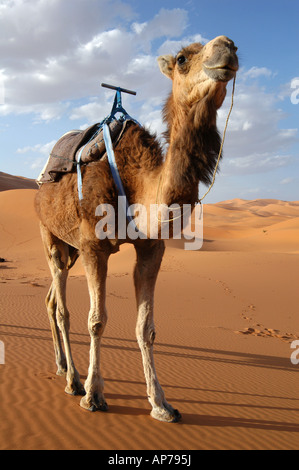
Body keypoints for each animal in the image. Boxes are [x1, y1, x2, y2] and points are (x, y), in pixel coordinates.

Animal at [34, 35, 239, 420]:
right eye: (182, 58)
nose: (227, 46)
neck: (136, 184)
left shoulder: (151, 247)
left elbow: (147, 328)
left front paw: (161, 403)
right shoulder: (93, 247)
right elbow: (96, 320)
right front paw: (94, 395)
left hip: (70, 250)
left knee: (52, 299)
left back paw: (61, 365)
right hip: (50, 235)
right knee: (63, 307)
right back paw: (73, 380)